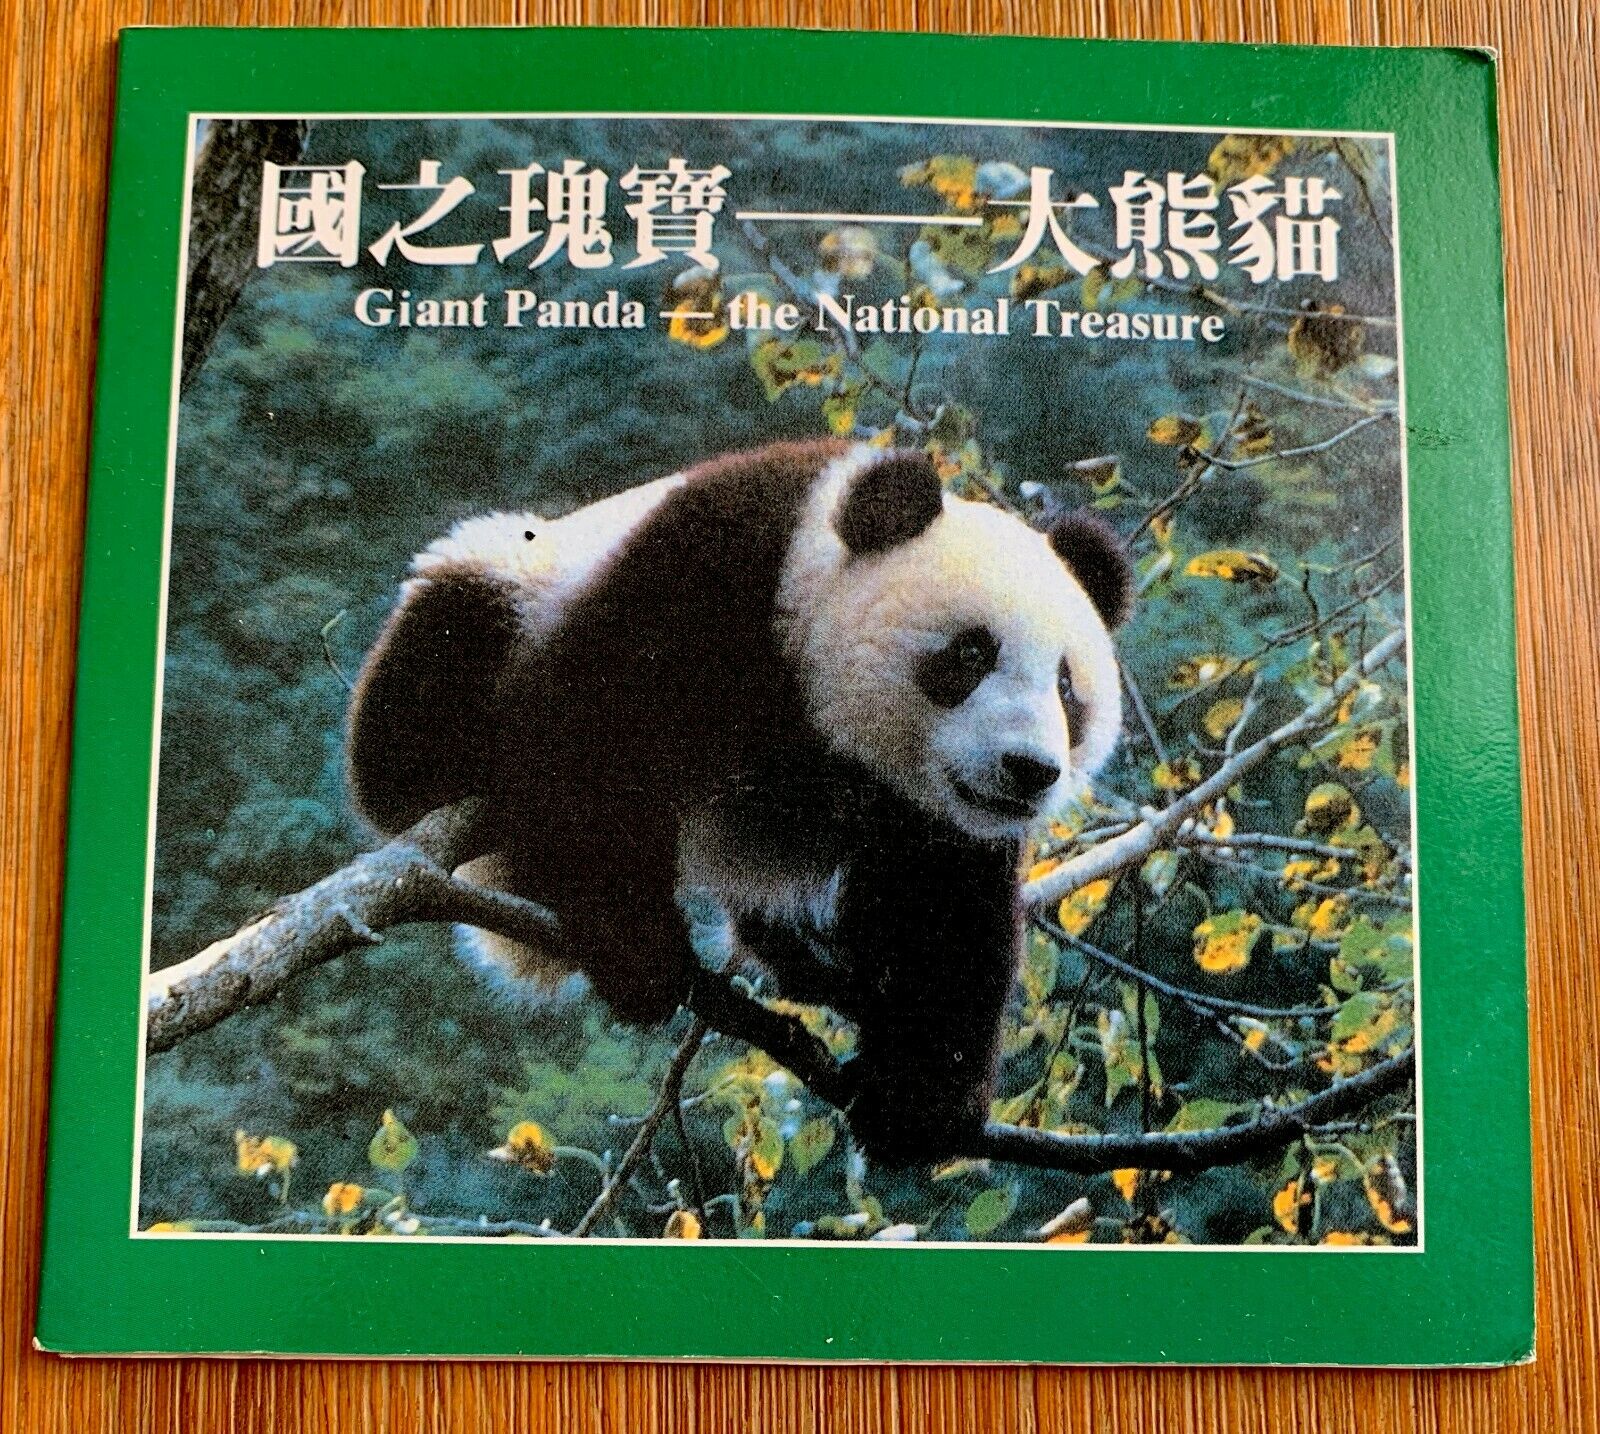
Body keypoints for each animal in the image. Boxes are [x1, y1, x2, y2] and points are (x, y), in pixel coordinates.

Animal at [348, 439, 1131, 1163]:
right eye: (970, 654)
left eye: (1067, 687)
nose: (1030, 770)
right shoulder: (712, 574)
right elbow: (596, 736)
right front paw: (638, 953)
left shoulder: (937, 817)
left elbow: (947, 909)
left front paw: (919, 1101)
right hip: (516, 580)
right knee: (439, 654)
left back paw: (817, 961)